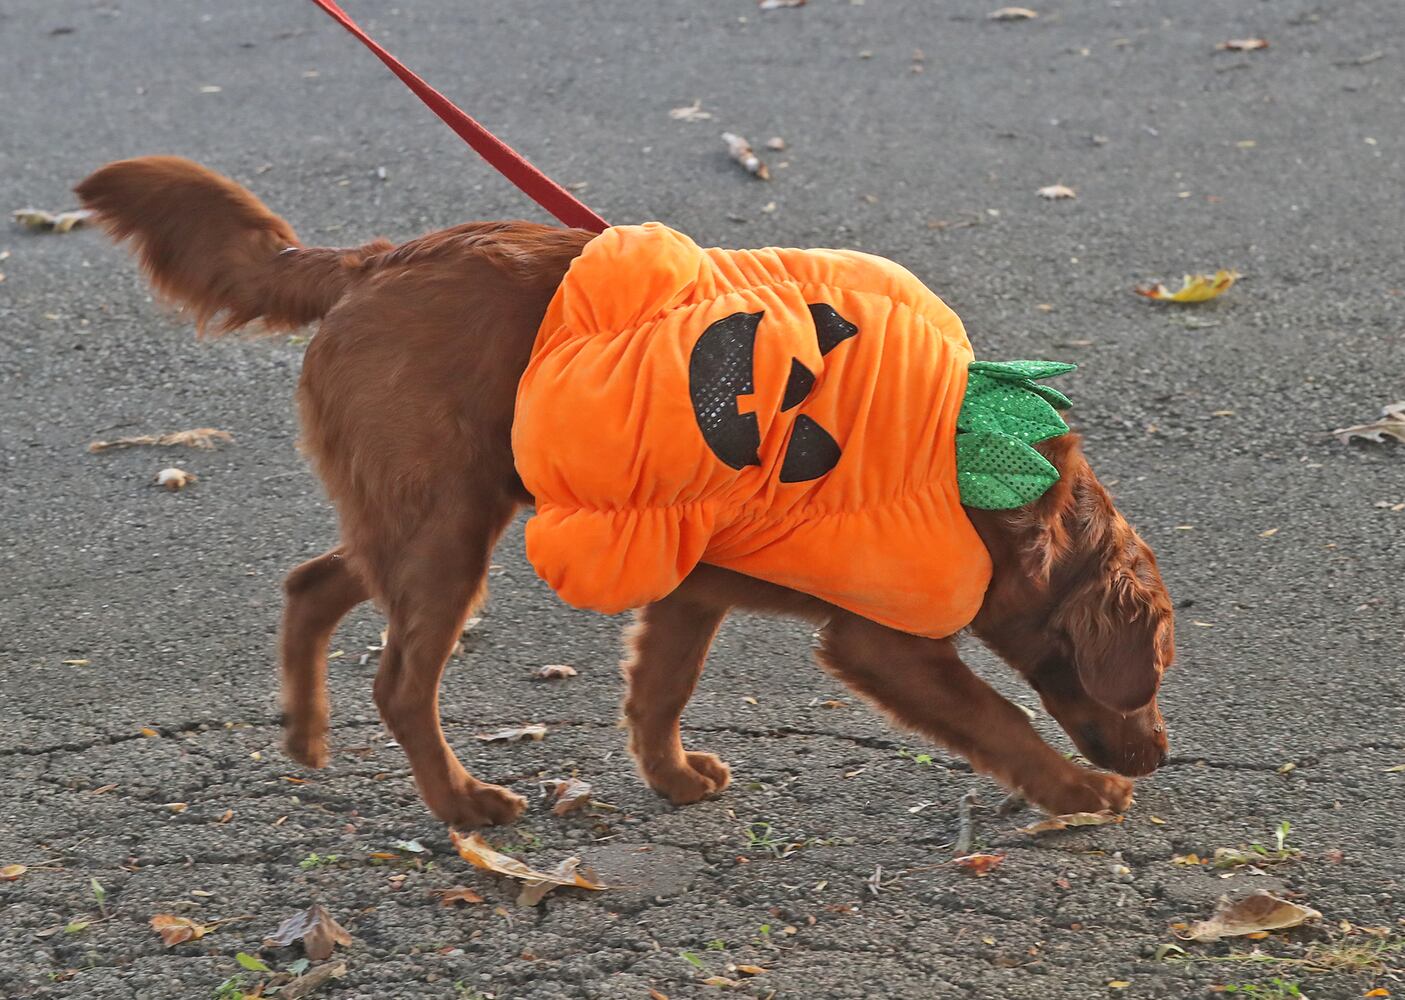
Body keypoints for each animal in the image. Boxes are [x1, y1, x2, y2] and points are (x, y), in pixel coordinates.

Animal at [76, 155, 1174, 825]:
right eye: (1158, 664)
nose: (1157, 756)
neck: (988, 459)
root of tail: (375, 261)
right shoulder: (881, 636)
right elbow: (998, 718)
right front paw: (1077, 790)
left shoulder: (690, 585)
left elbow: (657, 694)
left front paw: (673, 778)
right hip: (445, 531)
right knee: (398, 682)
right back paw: (461, 803)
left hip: (423, 513)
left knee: (311, 583)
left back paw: (305, 736)